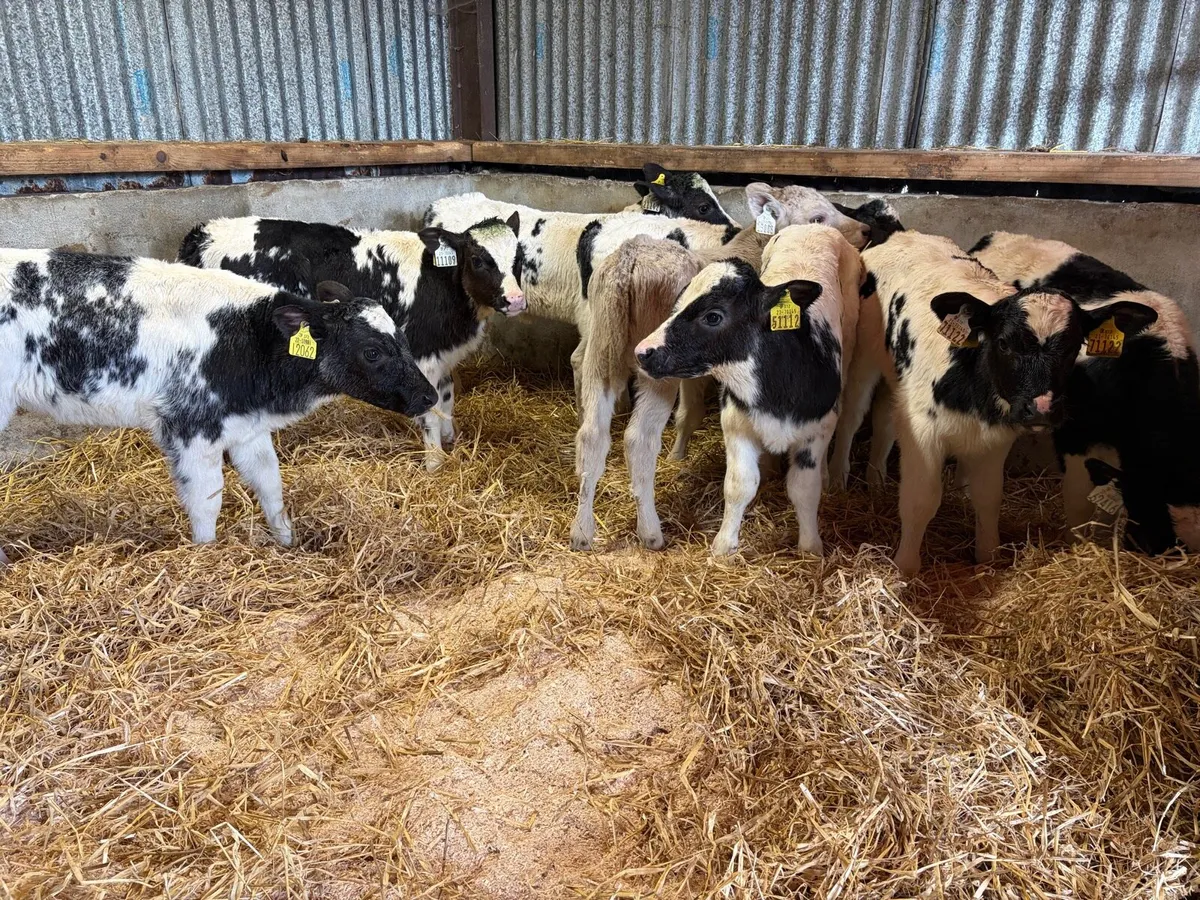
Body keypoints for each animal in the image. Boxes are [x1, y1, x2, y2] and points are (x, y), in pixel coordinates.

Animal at [0, 250, 436, 561]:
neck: (248, 338)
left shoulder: (246, 428)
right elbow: (207, 501)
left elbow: (270, 486)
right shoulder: (191, 427)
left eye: (402, 337)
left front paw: (289, 544)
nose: (428, 396)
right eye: (372, 351)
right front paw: (206, 558)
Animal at [179, 213, 523, 471]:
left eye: (518, 258)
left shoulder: (444, 352)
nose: (516, 300)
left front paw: (451, 439)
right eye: (478, 259)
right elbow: (432, 410)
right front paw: (435, 462)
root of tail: (201, 234)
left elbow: (447, 397)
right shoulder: (423, 353)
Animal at [632, 225, 861, 556]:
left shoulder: (816, 430)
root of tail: (814, 226)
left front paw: (810, 547)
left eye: (713, 316)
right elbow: (739, 485)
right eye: (677, 305)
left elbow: (804, 488)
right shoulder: (736, 424)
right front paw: (724, 546)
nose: (642, 351)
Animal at [829, 231, 1157, 575]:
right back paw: (838, 480)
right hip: (863, 359)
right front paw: (905, 567)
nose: (1040, 409)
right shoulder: (923, 430)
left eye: (1072, 347)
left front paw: (988, 556)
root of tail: (903, 235)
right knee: (852, 417)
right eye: (1004, 343)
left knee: (885, 422)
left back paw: (876, 482)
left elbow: (988, 497)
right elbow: (921, 500)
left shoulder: (996, 438)